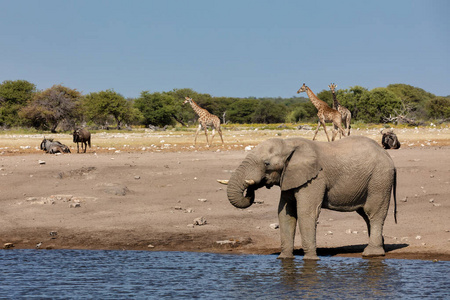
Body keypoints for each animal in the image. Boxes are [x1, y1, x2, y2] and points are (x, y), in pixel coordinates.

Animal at [221, 137, 398, 260]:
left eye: (266, 163)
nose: (250, 186)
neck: (289, 143)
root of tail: (389, 156)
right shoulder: (290, 177)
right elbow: (285, 213)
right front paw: (284, 259)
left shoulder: (314, 179)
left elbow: (306, 212)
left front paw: (311, 260)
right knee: (366, 215)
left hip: (380, 179)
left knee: (374, 213)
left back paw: (371, 254)